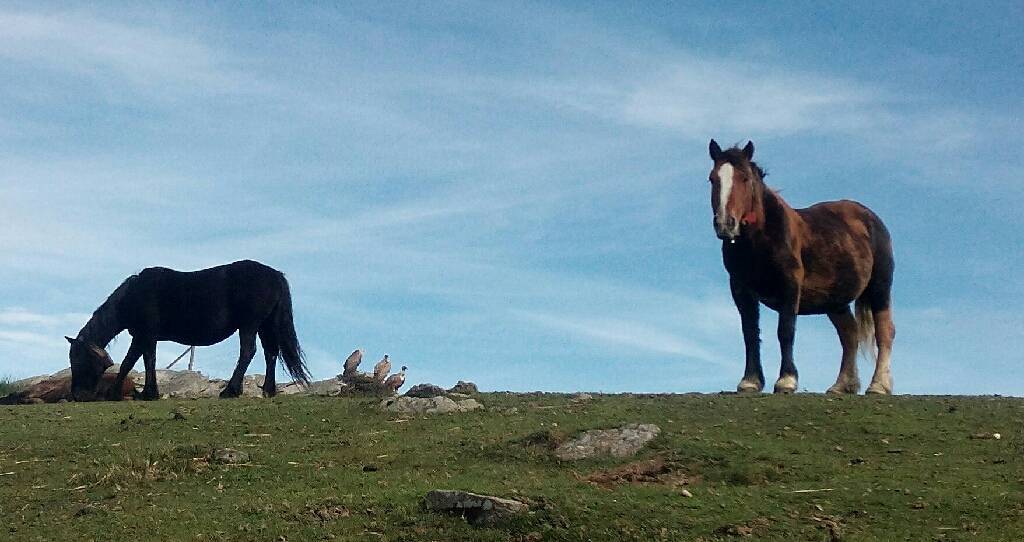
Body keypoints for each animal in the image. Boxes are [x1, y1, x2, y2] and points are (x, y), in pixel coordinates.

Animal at [66, 260, 309, 399]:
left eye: (79, 359)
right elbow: (130, 362)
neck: (133, 296)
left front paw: (147, 393)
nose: (76, 395)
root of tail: (275, 275)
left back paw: (230, 390)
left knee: (248, 352)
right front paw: (119, 393)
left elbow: (145, 361)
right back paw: (268, 390)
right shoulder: (141, 337)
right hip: (265, 325)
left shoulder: (147, 335)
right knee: (271, 354)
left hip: (249, 325)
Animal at [708, 138, 892, 393]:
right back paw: (842, 385)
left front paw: (786, 380)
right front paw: (750, 381)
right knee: (849, 334)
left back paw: (878, 385)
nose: (726, 224)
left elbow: (785, 330)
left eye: (744, 178)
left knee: (885, 333)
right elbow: (750, 332)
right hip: (835, 302)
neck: (762, 239)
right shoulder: (740, 289)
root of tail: (871, 219)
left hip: (879, 288)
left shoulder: (790, 285)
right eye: (712, 178)